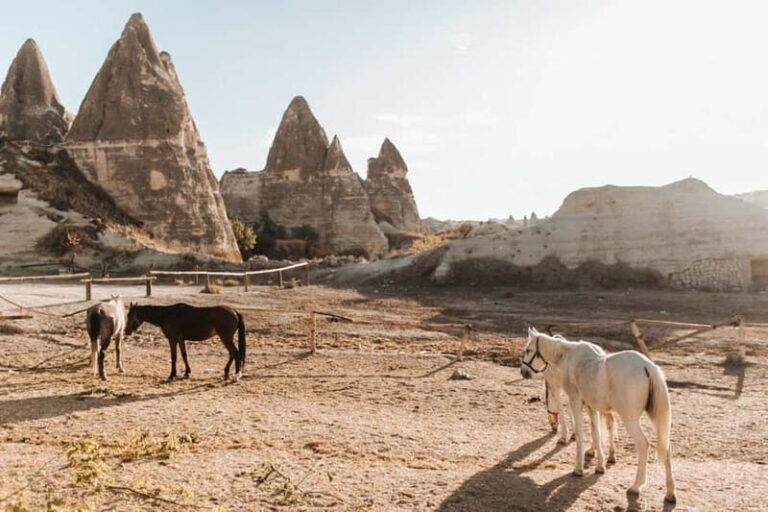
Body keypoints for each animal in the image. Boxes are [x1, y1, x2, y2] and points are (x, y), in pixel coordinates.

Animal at [521, 327, 676, 503]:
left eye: (528, 350)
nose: (523, 372)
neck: (567, 358)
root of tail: (648, 367)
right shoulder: (591, 407)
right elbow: (596, 433)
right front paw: (600, 466)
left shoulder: (575, 402)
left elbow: (580, 434)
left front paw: (578, 469)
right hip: (656, 418)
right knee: (666, 448)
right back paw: (670, 493)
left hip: (630, 420)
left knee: (643, 445)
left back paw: (636, 486)